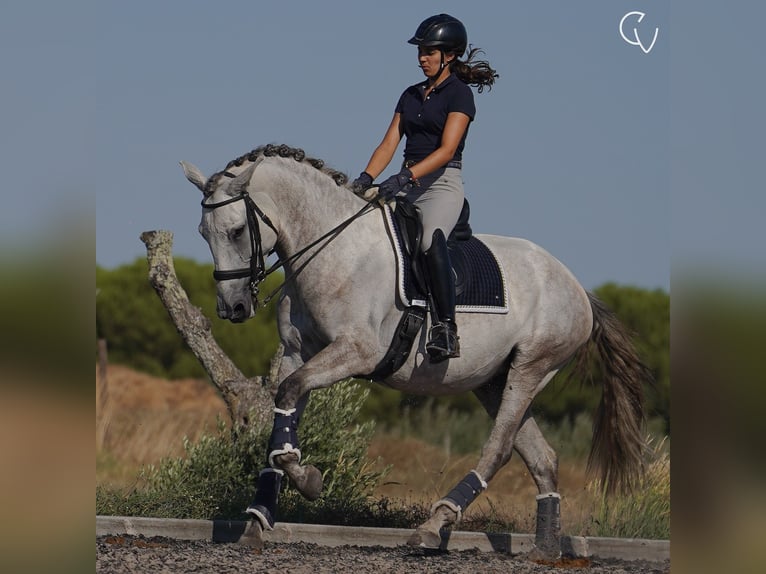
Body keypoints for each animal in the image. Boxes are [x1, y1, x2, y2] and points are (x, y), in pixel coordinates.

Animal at [182, 145, 656, 564]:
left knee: (500, 448)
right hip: (494, 381)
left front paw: (309, 482)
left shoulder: (357, 352)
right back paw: (545, 548)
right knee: (542, 458)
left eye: (237, 231)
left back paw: (434, 525)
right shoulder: (298, 354)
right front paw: (258, 521)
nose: (232, 308)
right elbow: (282, 416)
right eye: (204, 234)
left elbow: (288, 396)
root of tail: (577, 288)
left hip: (531, 368)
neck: (332, 249)